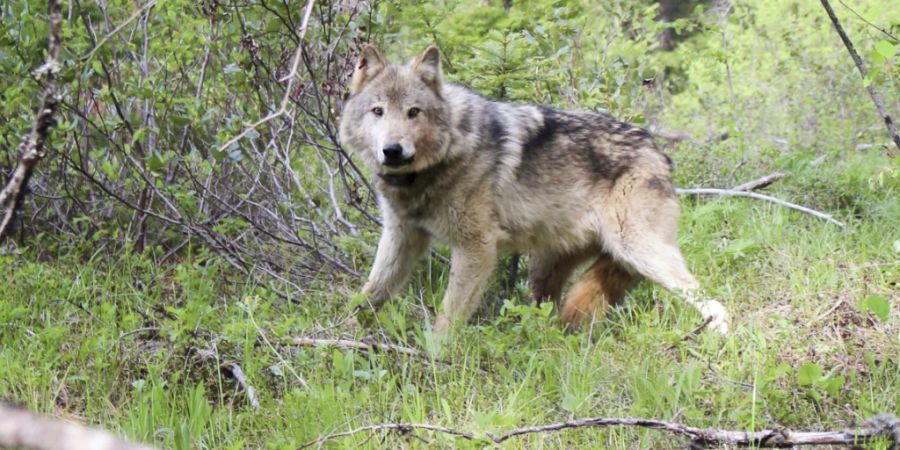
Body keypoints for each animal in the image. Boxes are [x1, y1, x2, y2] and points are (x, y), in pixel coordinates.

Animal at [340, 44, 732, 334]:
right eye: (378, 111)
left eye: (413, 112)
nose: (393, 150)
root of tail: (659, 152)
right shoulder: (401, 236)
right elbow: (367, 294)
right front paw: (340, 336)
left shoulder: (477, 247)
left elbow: (447, 320)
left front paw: (436, 359)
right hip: (546, 270)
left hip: (639, 251)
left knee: (711, 300)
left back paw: (718, 333)